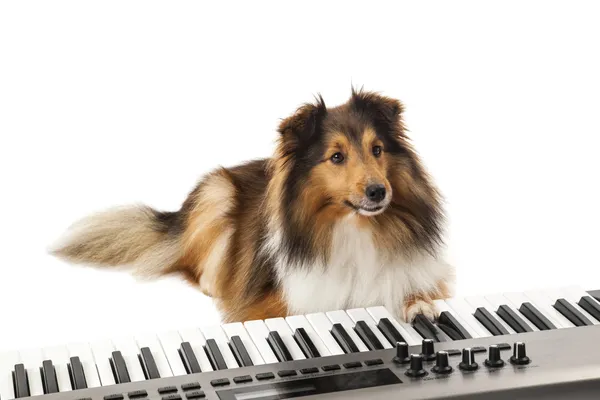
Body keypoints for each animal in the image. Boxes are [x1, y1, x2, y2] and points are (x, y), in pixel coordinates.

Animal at [50, 89, 454, 324]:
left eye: (377, 149)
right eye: (336, 157)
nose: (378, 192)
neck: (353, 226)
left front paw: (420, 306)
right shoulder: (274, 303)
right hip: (217, 193)